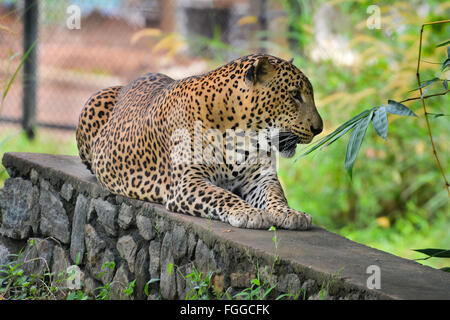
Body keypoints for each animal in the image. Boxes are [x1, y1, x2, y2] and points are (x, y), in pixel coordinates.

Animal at [77, 54, 324, 230]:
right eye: (295, 95)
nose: (319, 128)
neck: (244, 134)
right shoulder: (188, 182)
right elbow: (222, 195)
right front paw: (249, 212)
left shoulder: (259, 178)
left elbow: (275, 194)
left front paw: (291, 213)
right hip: (93, 102)